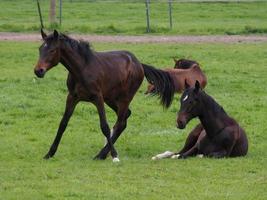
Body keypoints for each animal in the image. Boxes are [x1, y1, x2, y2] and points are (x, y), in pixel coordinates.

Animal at [34, 28, 176, 162]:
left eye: (52, 50)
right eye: (40, 49)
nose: (38, 71)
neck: (82, 69)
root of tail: (140, 64)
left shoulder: (98, 98)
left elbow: (105, 126)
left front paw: (114, 156)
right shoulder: (72, 97)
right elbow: (63, 124)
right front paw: (49, 154)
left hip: (125, 98)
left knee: (120, 123)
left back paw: (103, 154)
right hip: (111, 98)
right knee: (125, 117)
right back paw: (103, 153)